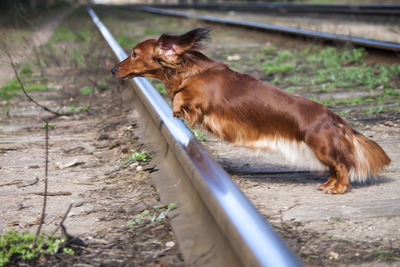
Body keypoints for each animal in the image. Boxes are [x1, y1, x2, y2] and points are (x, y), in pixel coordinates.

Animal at [111, 27, 390, 195]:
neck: (188, 70)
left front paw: (176, 110)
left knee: (343, 166)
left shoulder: (203, 100)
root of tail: (335, 119)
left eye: (134, 53)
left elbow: (180, 97)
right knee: (335, 167)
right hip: (321, 150)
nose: (113, 70)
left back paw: (338, 188)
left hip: (321, 146)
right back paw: (328, 184)